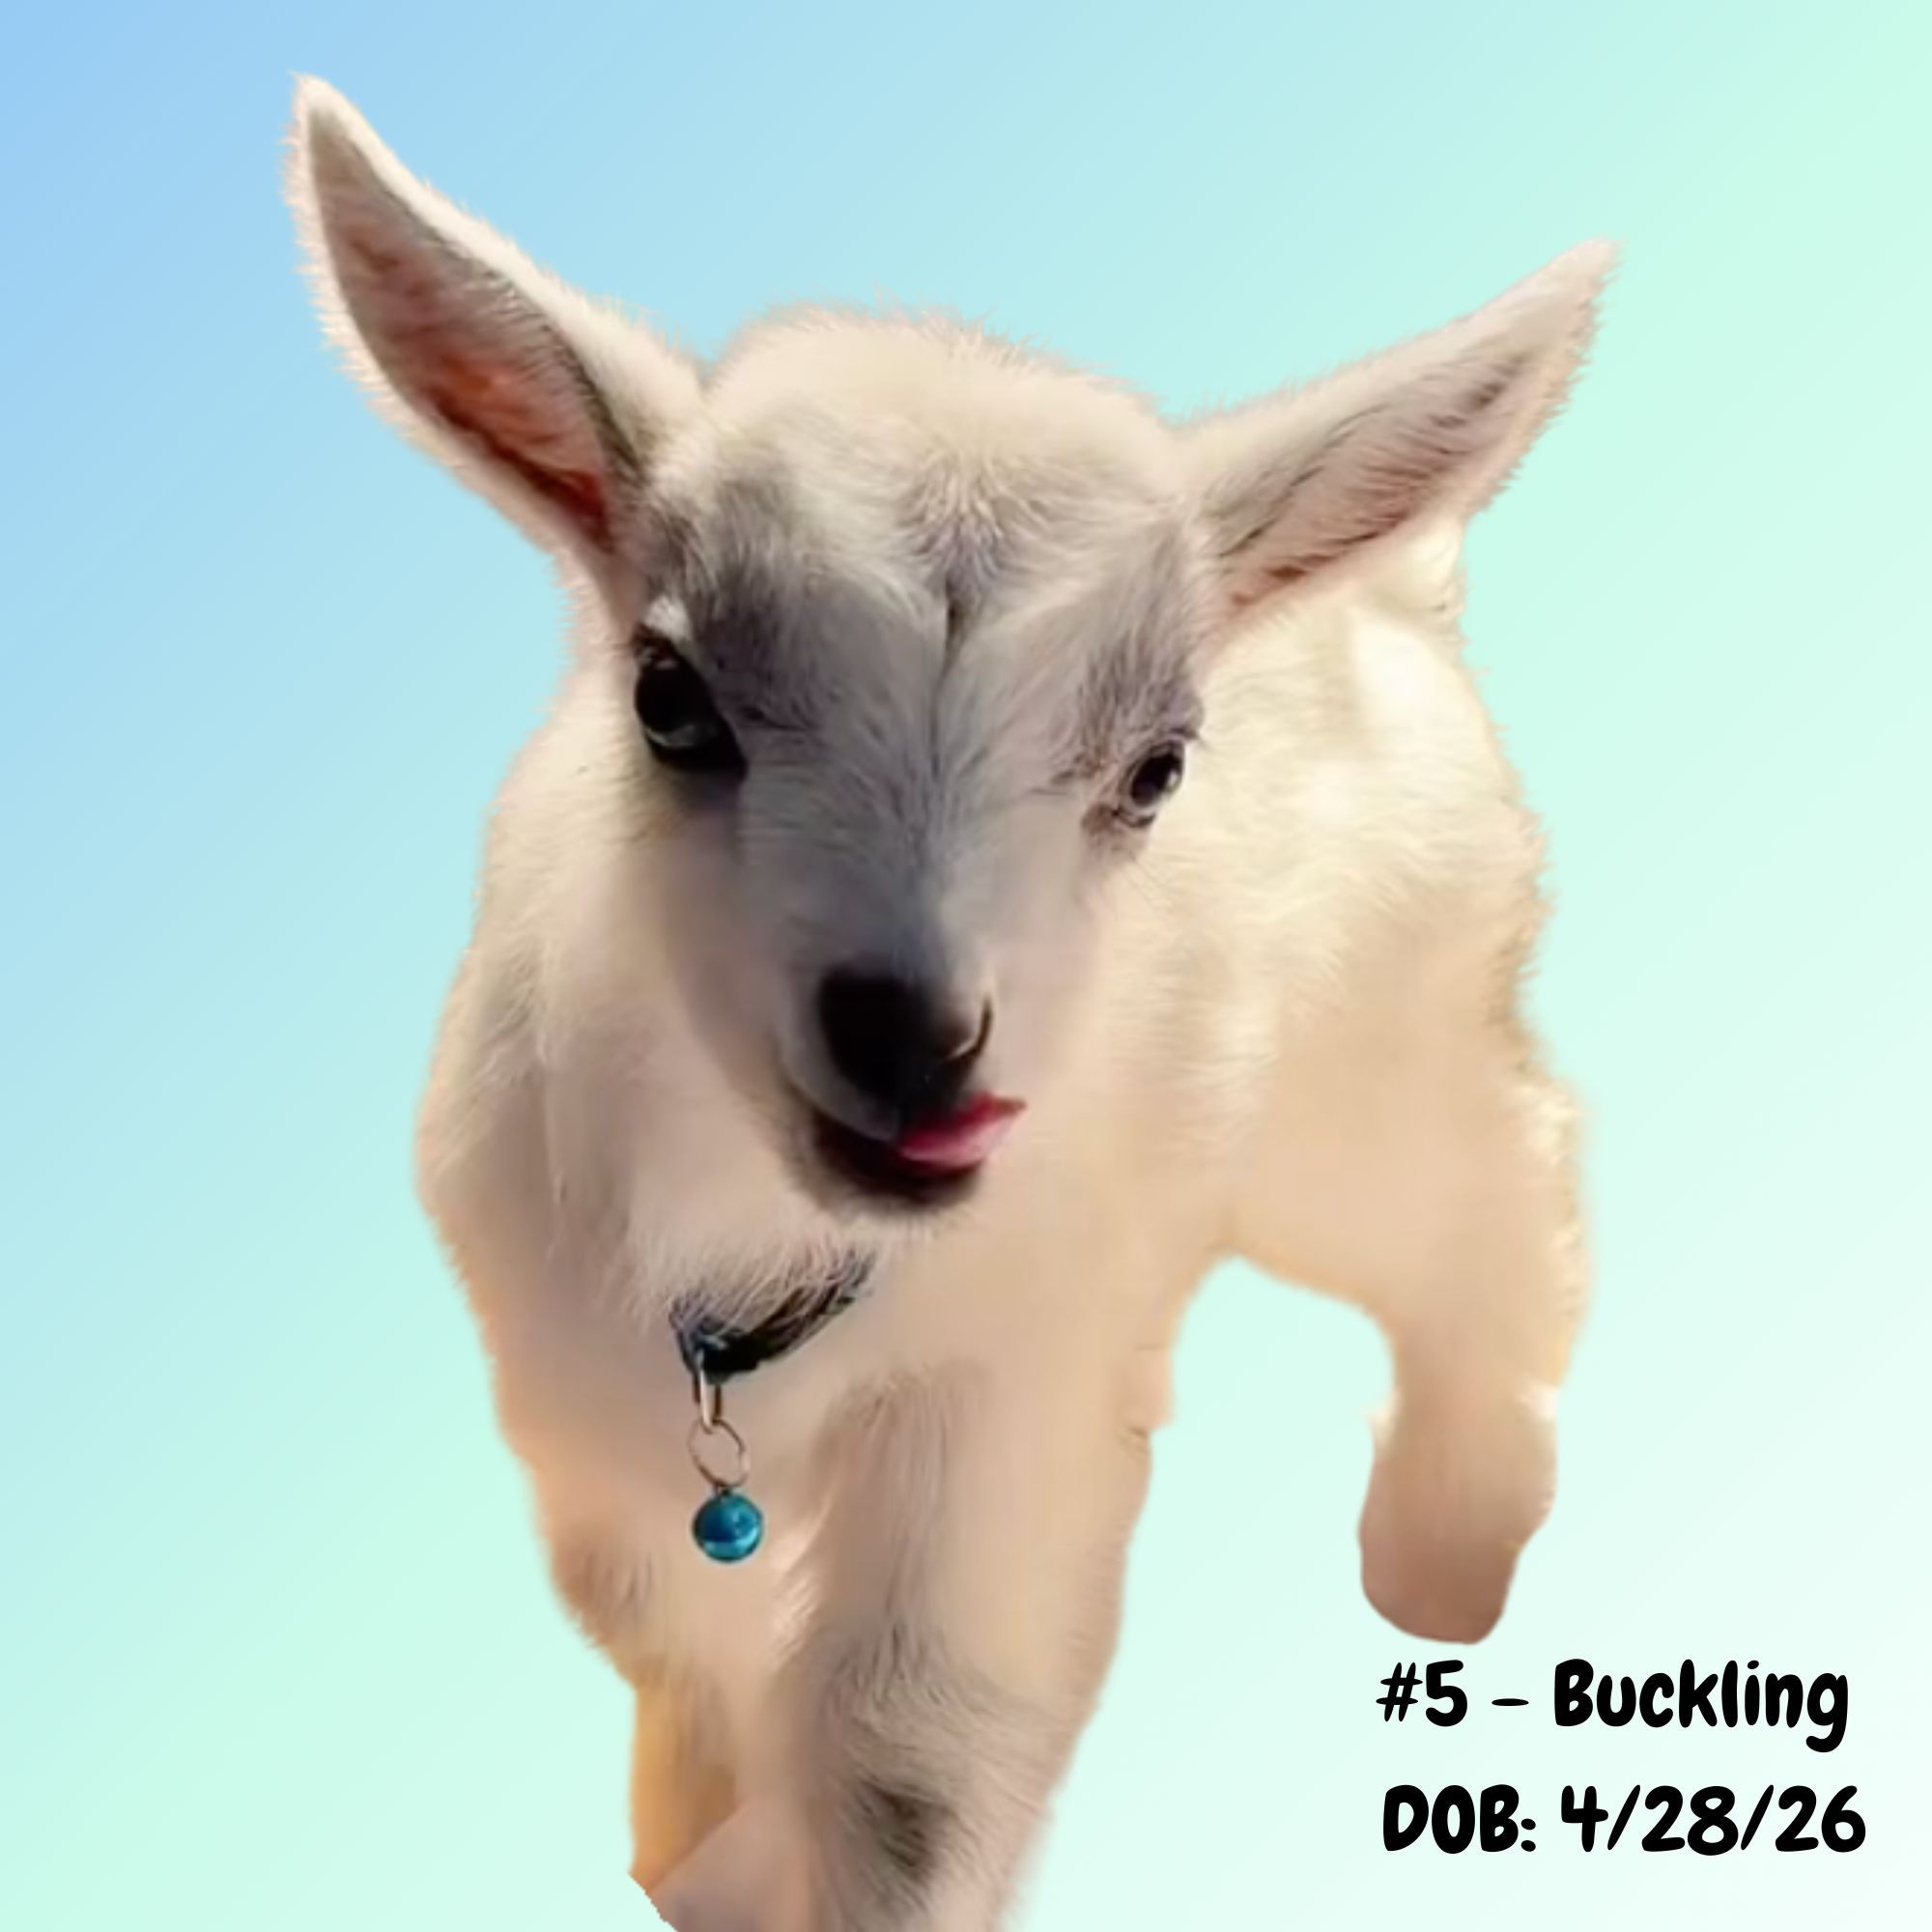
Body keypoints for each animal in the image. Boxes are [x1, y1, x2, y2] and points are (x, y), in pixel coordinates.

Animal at [288, 76, 1607, 1932]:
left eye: (1157, 767)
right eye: (668, 697)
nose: (918, 1047)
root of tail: (1395, 597)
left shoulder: (1002, 1389)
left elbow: (912, 1742)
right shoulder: (574, 1384)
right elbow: (658, 1619)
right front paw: (704, 1851)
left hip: (1376, 1044)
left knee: (1498, 1189)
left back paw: (1448, 1548)